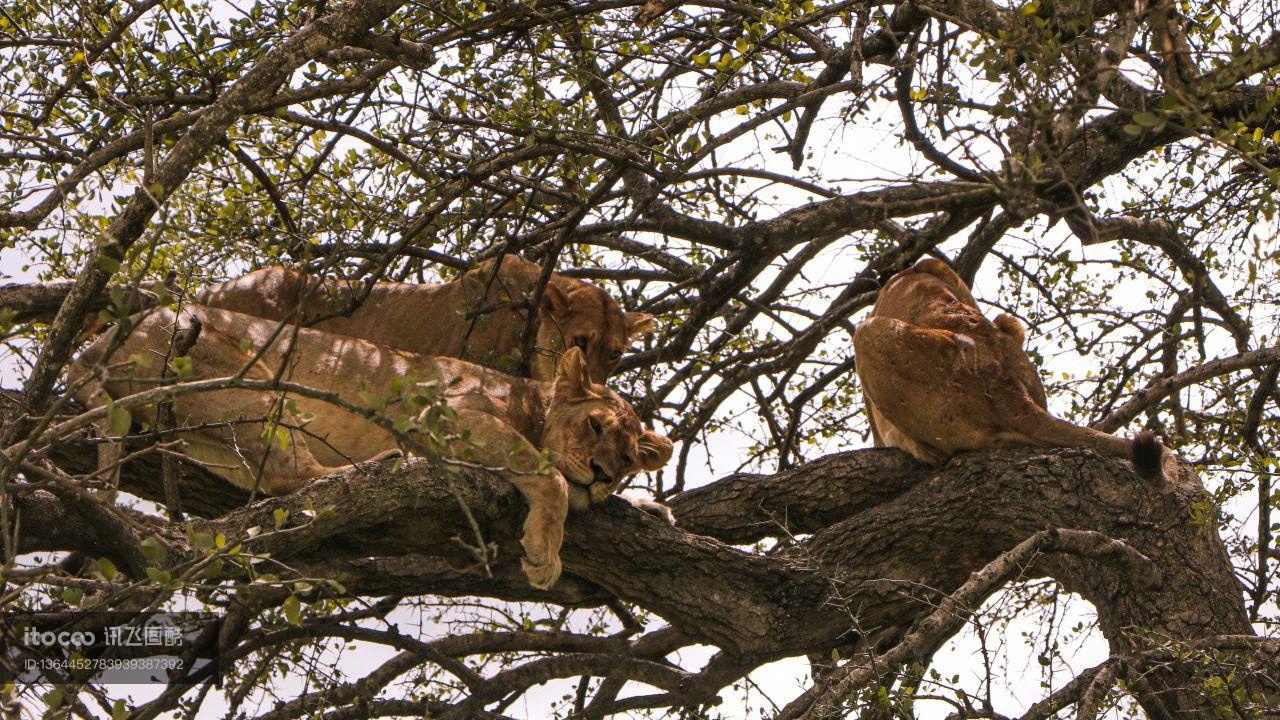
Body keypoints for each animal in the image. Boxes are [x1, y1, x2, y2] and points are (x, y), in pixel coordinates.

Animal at [68, 299, 675, 586]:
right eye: (594, 426)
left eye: (627, 458)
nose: (602, 474)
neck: (529, 398)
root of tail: (95, 346)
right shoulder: (445, 417)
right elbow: (548, 475)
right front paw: (544, 556)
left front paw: (649, 506)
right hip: (247, 380)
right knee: (294, 479)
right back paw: (380, 463)